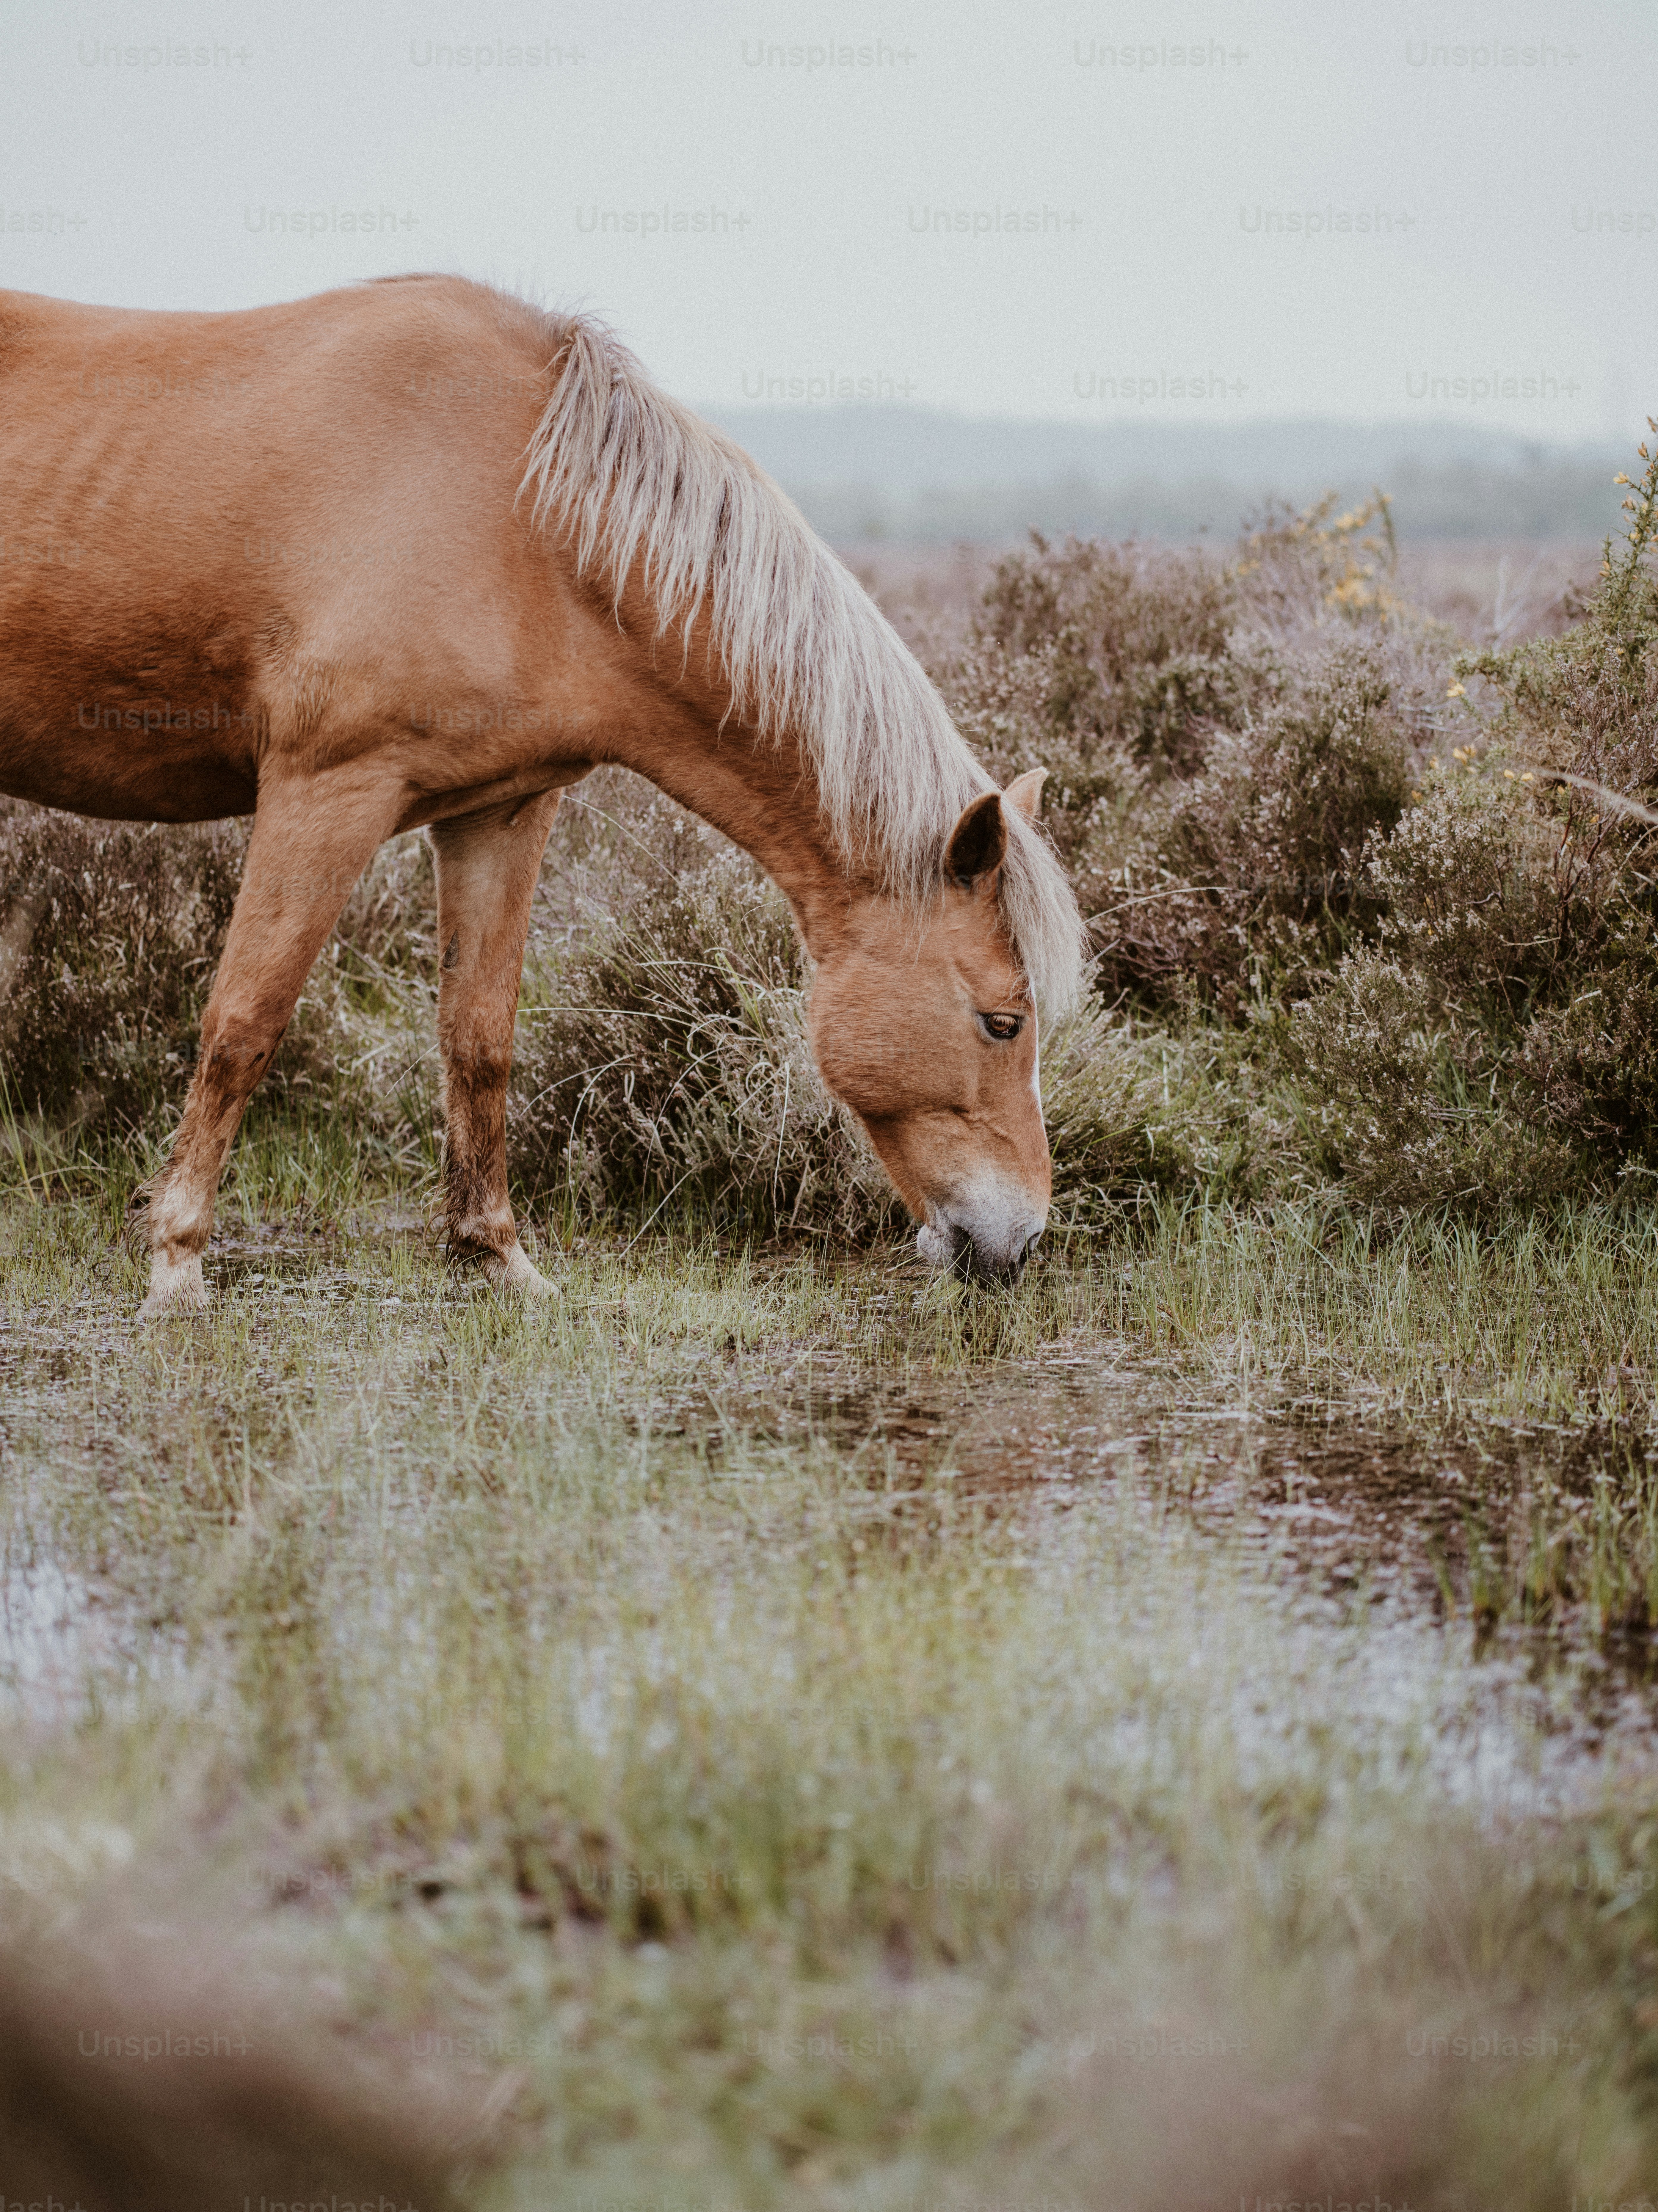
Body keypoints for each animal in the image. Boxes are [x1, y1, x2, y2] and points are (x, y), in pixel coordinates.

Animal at [0, 276, 1085, 1317]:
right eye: (1001, 1021)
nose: (1020, 1240)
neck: (528, 519)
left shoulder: (499, 812)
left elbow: (478, 1037)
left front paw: (497, 1259)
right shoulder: (329, 786)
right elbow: (243, 1023)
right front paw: (176, 1262)